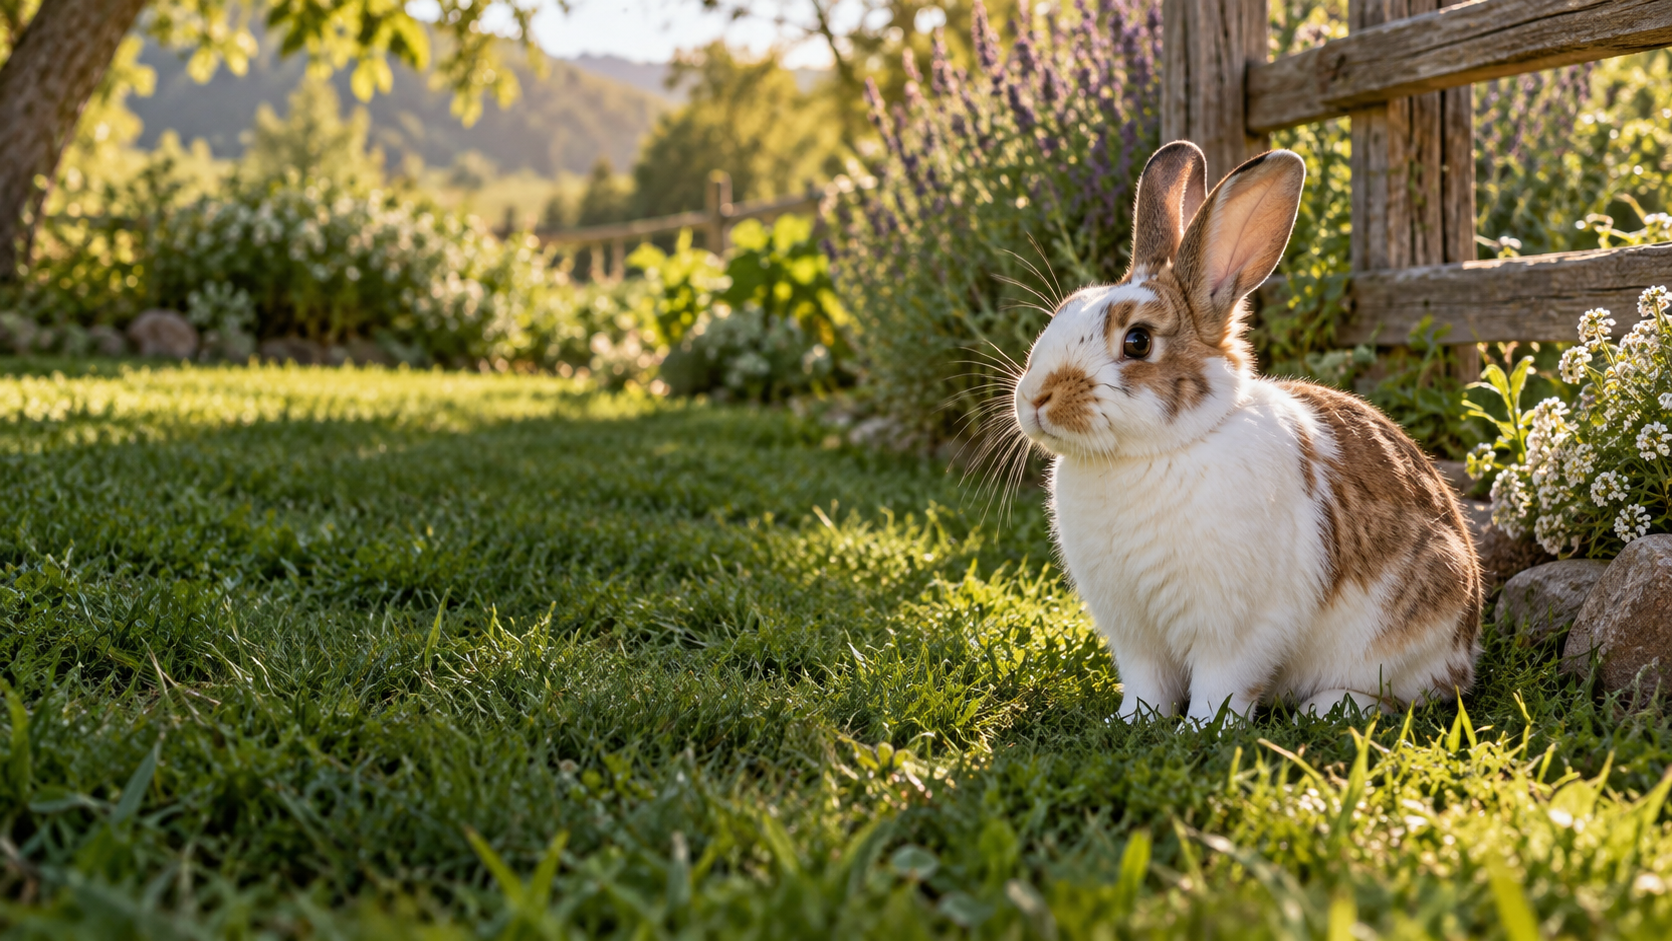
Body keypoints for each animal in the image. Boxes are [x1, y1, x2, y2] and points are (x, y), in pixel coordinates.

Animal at [1012, 141, 1482, 721]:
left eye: (1138, 341)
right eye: (1063, 311)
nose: (1035, 398)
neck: (1149, 454)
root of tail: (1466, 648)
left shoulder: (1237, 628)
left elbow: (1222, 686)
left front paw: (1199, 730)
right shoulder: (1136, 635)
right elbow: (1146, 685)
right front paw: (1128, 722)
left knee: (1397, 694)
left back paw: (1327, 709)